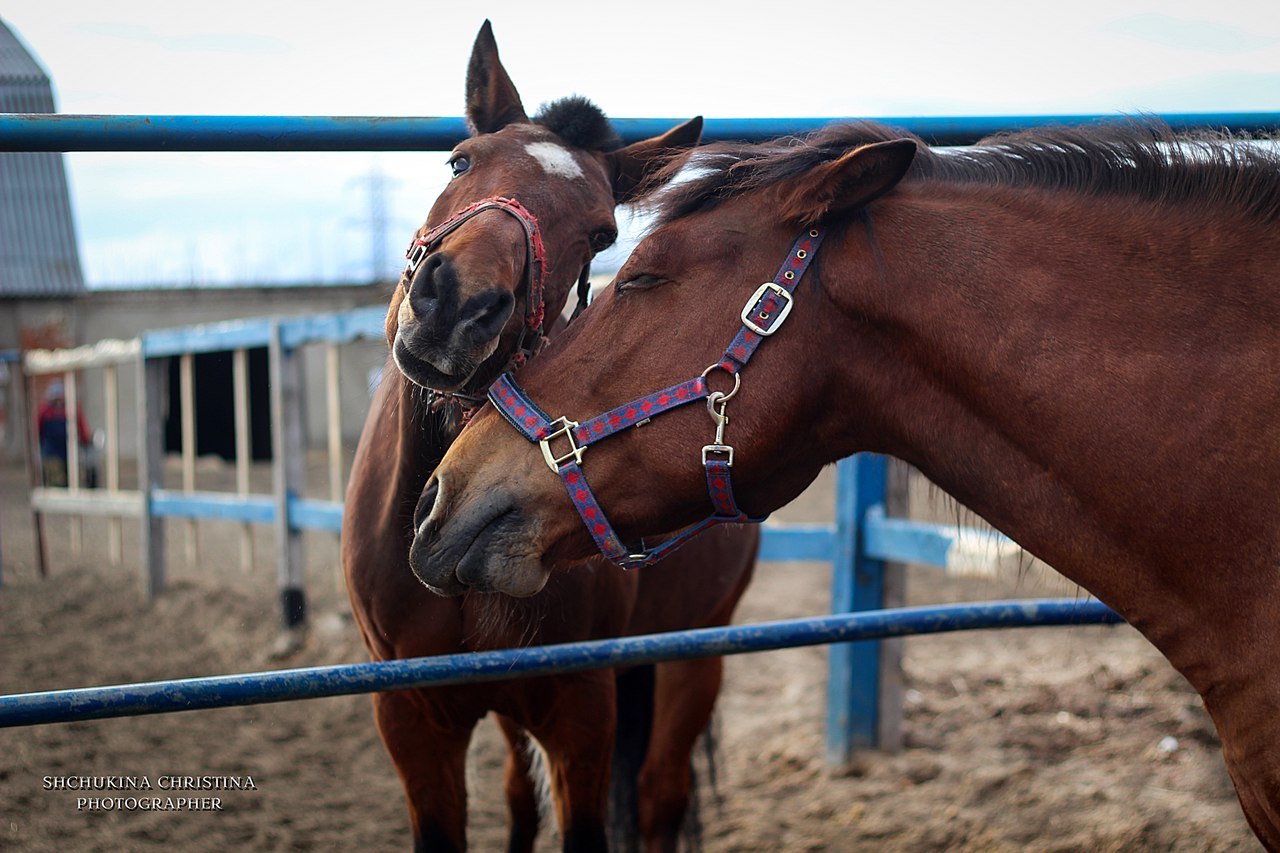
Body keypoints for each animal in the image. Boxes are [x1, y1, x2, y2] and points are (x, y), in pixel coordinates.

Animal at [345, 23, 752, 845]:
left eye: (600, 232)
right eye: (460, 160)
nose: (455, 305)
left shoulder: (580, 712)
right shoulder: (412, 719)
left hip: (696, 653)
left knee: (660, 794)